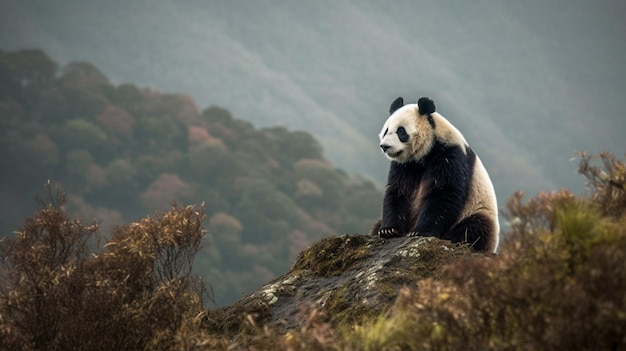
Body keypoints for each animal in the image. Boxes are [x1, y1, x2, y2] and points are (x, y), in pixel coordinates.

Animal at [370, 96, 498, 253]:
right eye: (386, 130)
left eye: (401, 131)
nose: (385, 146)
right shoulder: (405, 165)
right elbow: (398, 190)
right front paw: (389, 230)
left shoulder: (449, 155)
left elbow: (444, 193)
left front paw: (420, 231)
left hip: (477, 209)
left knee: (474, 227)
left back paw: (452, 237)